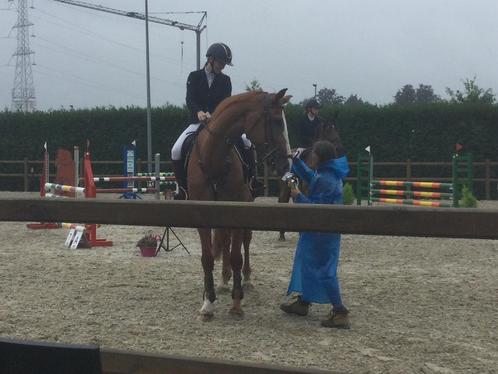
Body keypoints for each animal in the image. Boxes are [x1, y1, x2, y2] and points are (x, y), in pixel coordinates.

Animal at [187, 89, 292, 320]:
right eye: (277, 121)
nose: (286, 164)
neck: (213, 160)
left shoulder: (238, 209)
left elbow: (237, 256)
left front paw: (236, 302)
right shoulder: (202, 216)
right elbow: (207, 258)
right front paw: (208, 303)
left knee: (245, 240)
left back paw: (246, 279)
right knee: (225, 240)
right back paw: (224, 280)